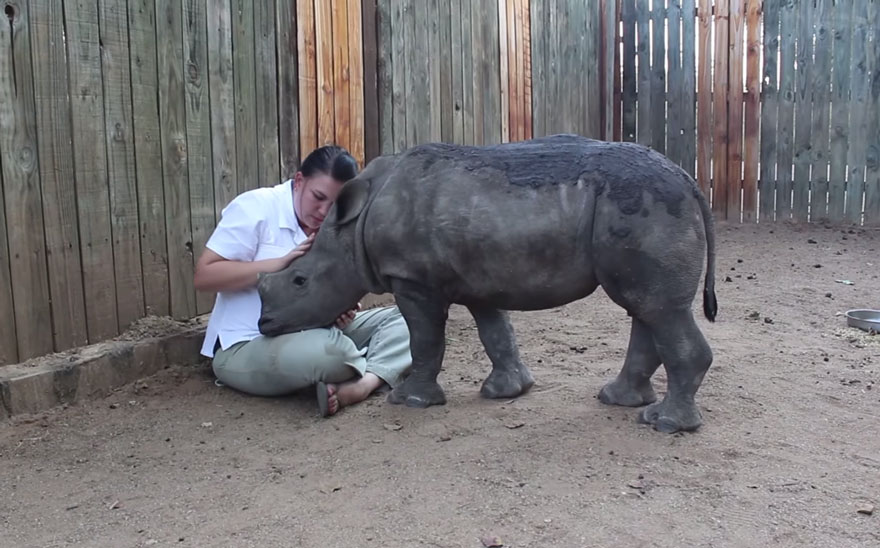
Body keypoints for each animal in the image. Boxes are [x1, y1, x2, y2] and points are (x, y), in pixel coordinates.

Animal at [257, 134, 717, 433]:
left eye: (300, 281)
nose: (265, 324)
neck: (352, 228)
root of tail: (690, 180)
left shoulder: (413, 279)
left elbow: (425, 338)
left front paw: (409, 401)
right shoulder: (480, 277)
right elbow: (496, 332)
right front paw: (508, 391)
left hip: (647, 208)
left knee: (657, 308)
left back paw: (666, 426)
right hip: (640, 211)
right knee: (646, 306)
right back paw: (621, 401)